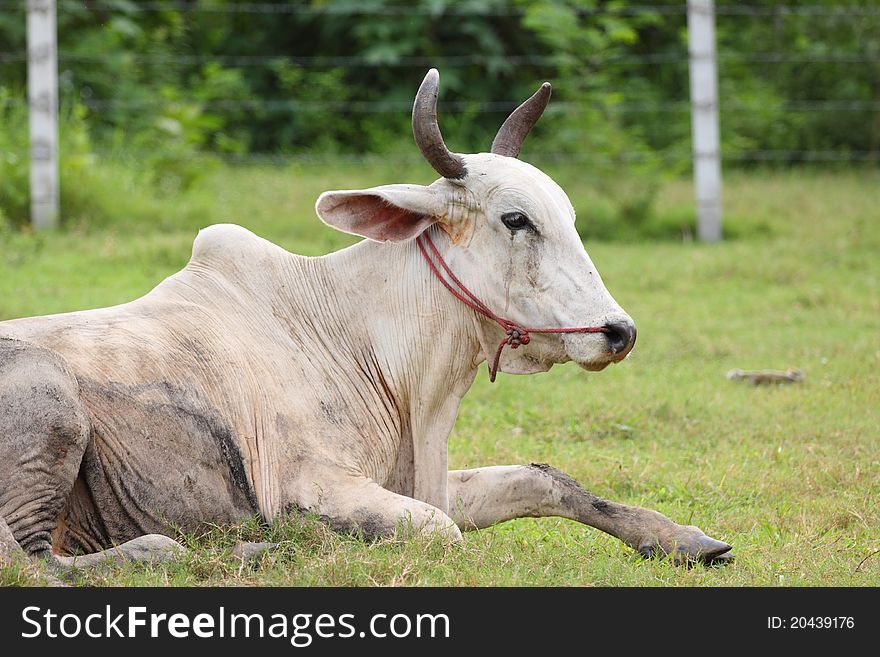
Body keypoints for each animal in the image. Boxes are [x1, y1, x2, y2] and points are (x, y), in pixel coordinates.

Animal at [0, 69, 728, 572]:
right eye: (516, 218)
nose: (618, 331)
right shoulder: (316, 483)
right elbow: (439, 530)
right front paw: (293, 536)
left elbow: (543, 478)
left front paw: (681, 538)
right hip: (52, 401)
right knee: (41, 563)